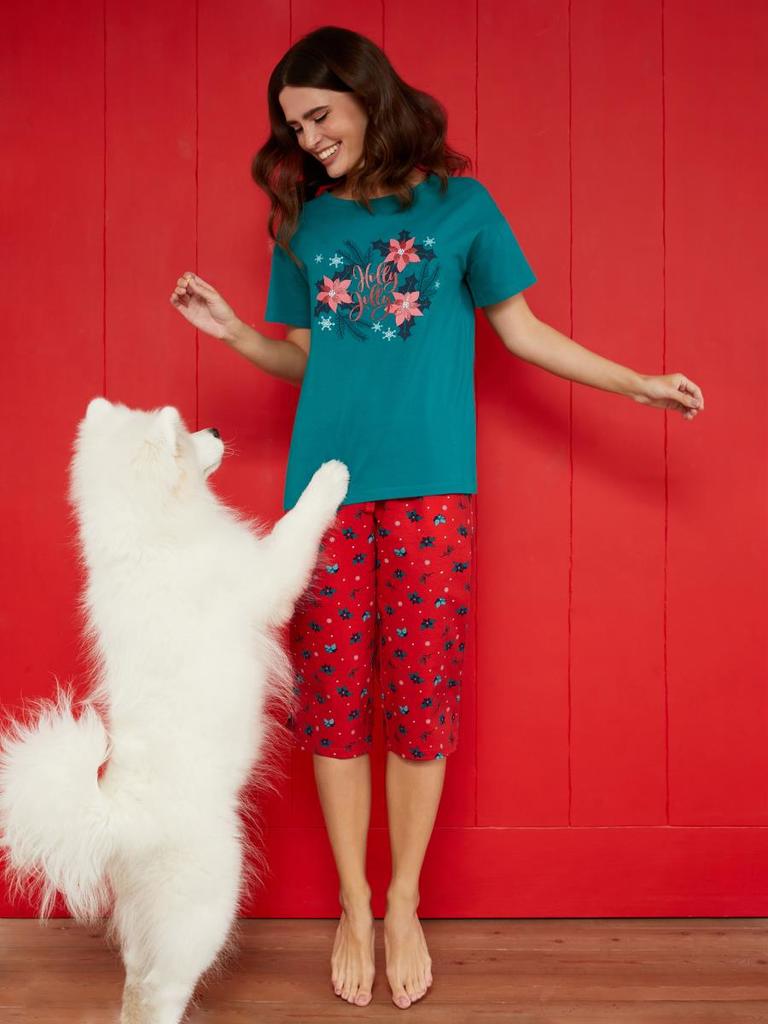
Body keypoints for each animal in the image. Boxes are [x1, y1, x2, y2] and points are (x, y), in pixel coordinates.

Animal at [0, 397, 349, 1023]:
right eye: (186, 434)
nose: (215, 427)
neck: (149, 535)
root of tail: (119, 817)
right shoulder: (265, 578)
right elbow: (295, 530)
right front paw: (330, 476)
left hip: (149, 914)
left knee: (135, 980)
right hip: (206, 900)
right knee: (156, 991)